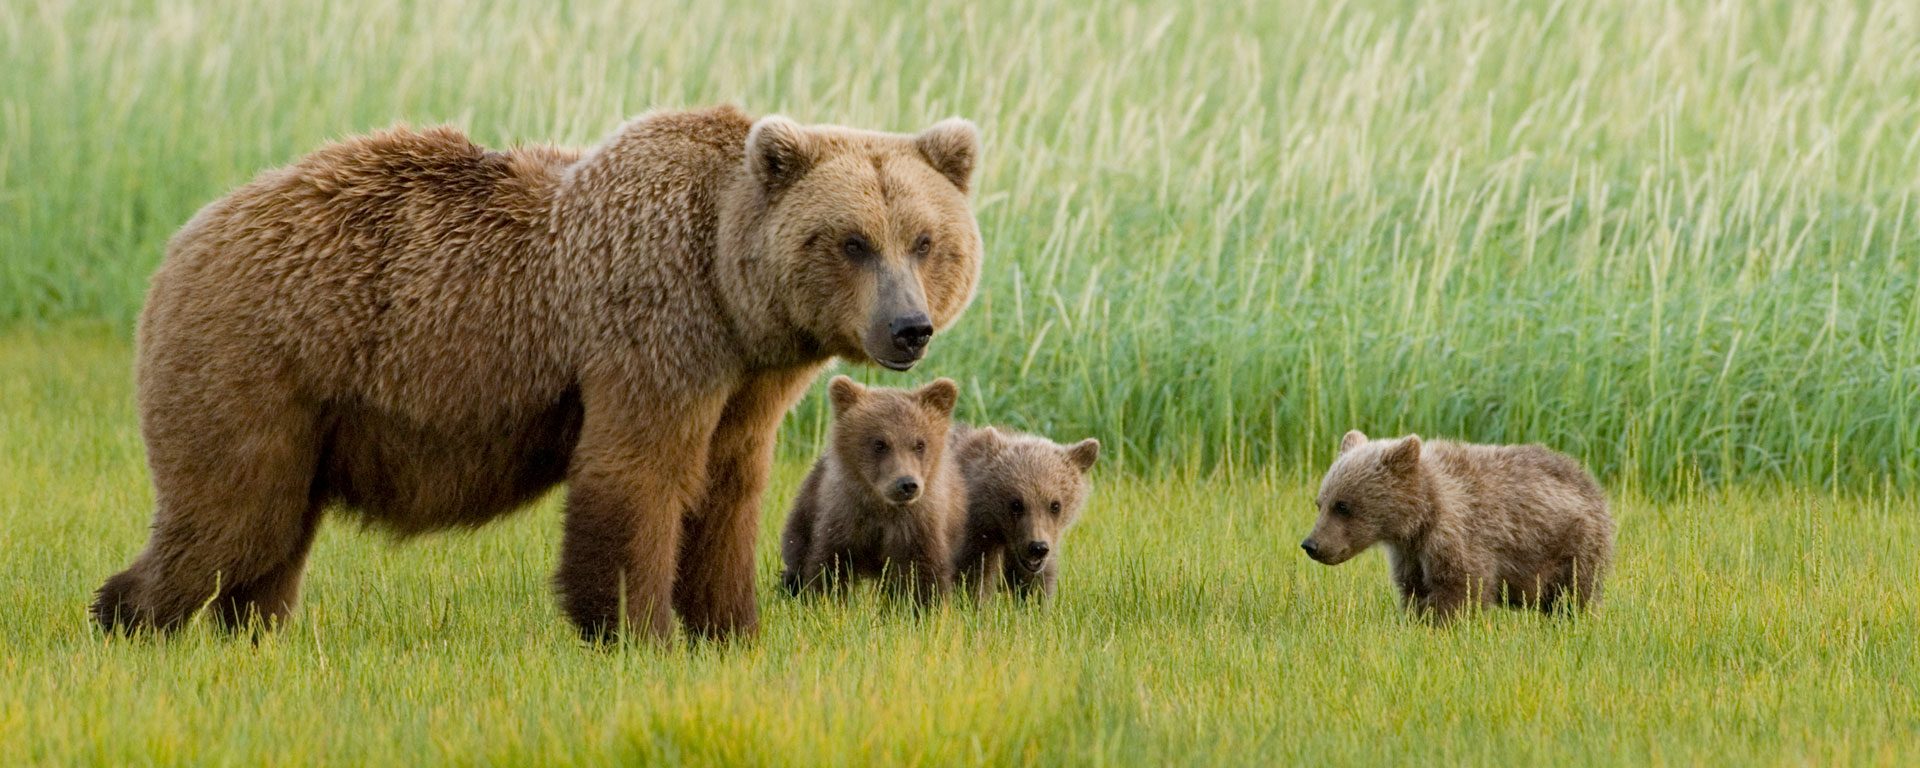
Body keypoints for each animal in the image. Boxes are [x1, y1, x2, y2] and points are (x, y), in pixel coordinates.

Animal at [90, 106, 983, 641]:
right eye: (852, 241)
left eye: (926, 240)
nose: (908, 328)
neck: (728, 290)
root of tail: (186, 234)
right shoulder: (652, 330)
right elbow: (638, 474)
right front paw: (633, 630)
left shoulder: (745, 384)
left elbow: (728, 492)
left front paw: (728, 626)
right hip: (256, 360)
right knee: (232, 515)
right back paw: (129, 616)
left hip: (310, 413)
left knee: (271, 532)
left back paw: (252, 627)